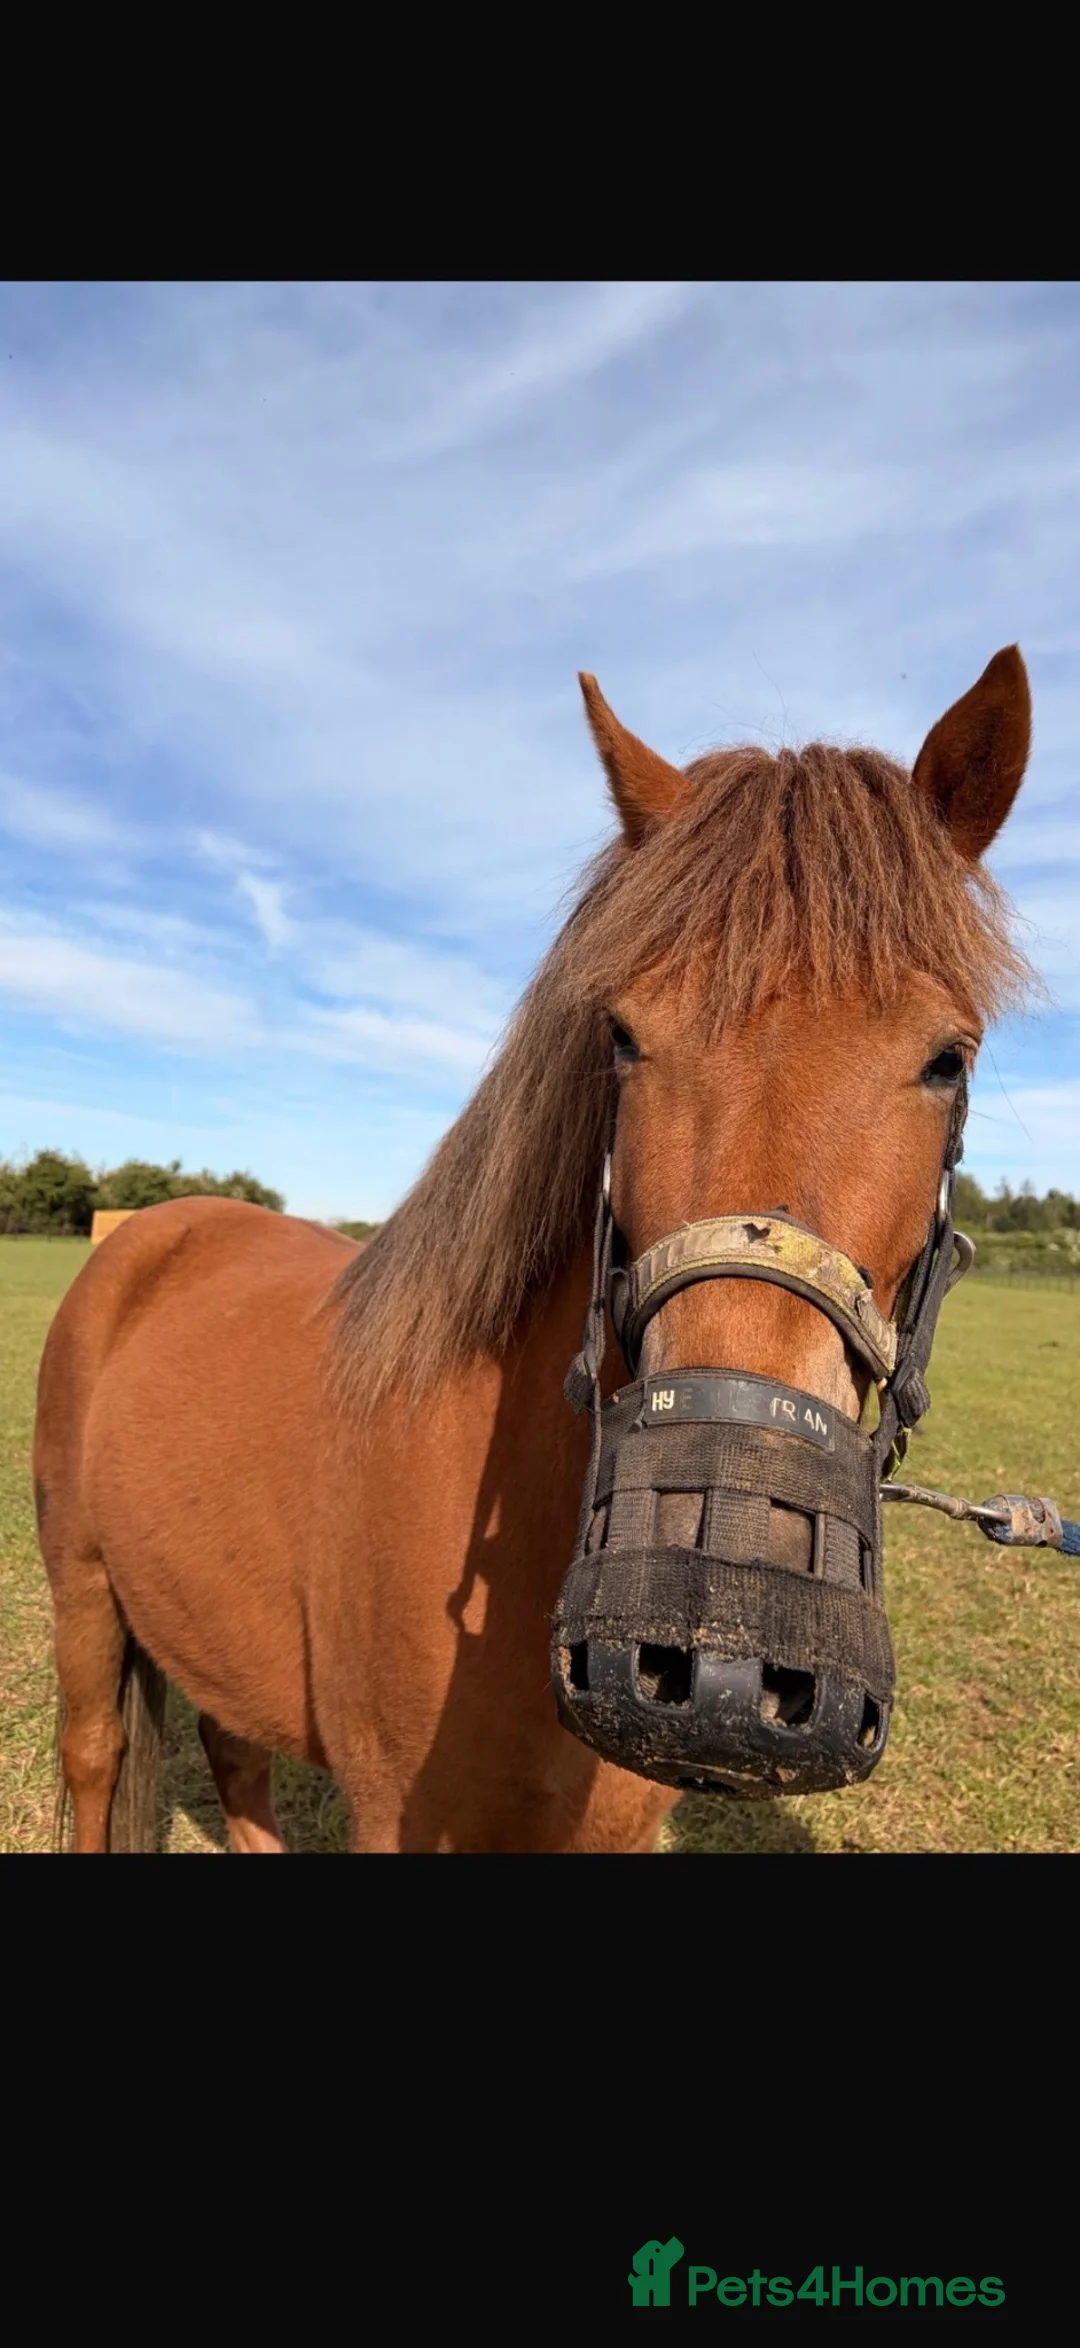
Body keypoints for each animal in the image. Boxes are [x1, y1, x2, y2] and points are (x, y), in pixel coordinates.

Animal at [34, 646, 1037, 1852]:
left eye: (948, 1058)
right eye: (623, 1036)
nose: (716, 1654)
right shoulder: (395, 1818)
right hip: (83, 1588)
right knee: (97, 1757)